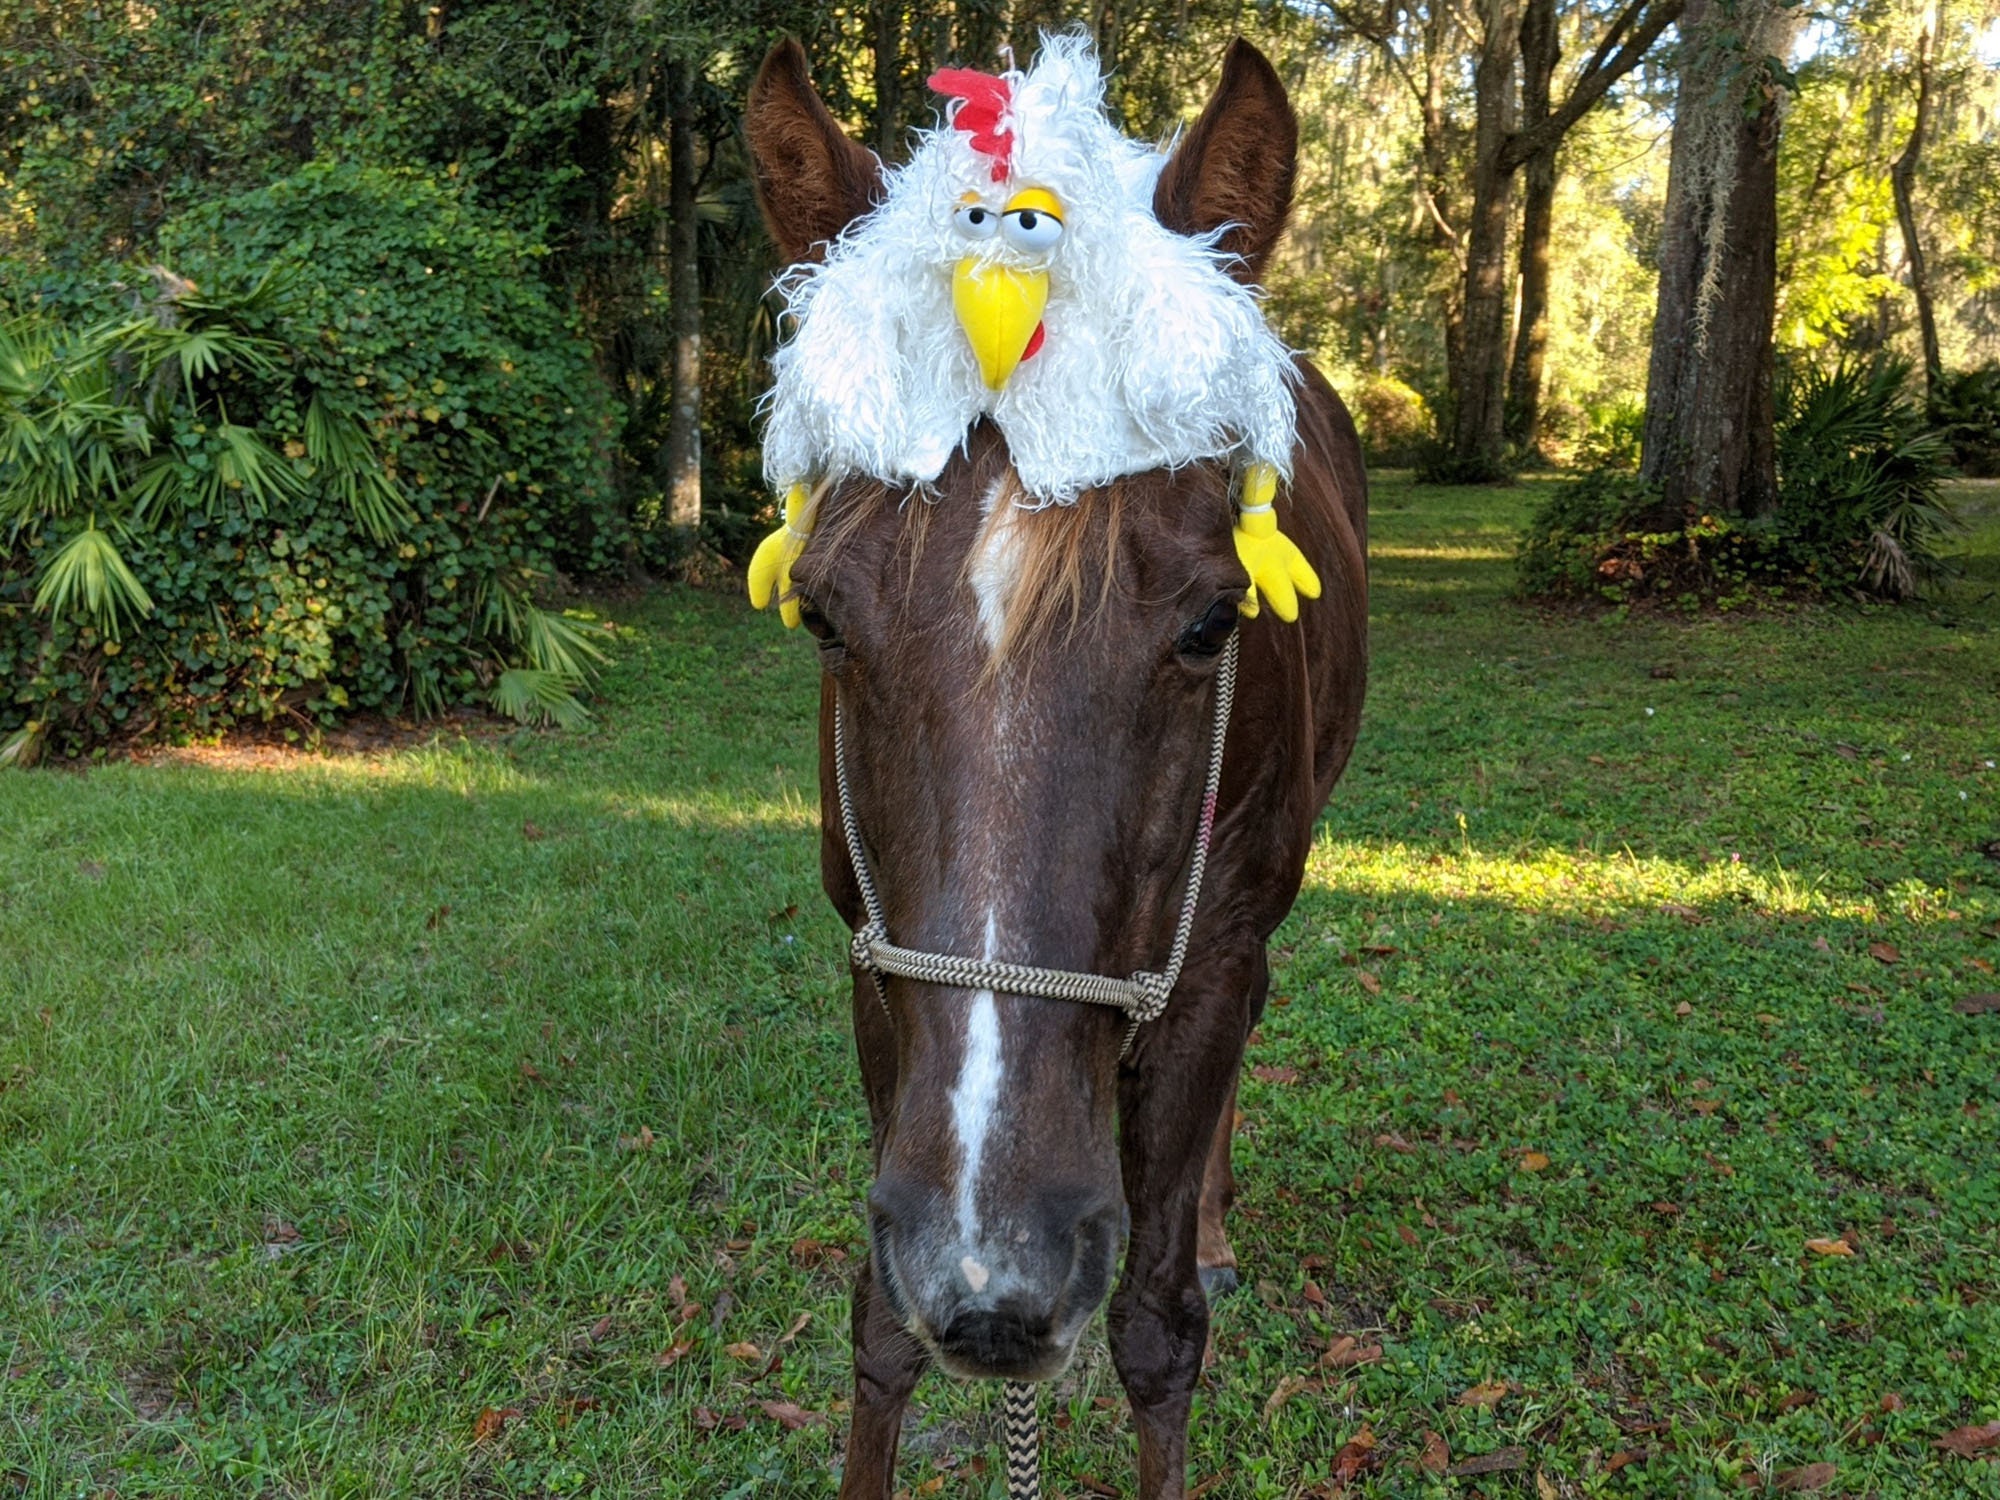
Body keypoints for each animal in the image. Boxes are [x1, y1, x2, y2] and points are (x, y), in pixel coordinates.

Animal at [744, 37, 1369, 1499]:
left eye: (1211, 625)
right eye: (822, 618)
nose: (995, 1280)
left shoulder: (1207, 960)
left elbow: (1156, 1333)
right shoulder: (876, 966)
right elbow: (879, 1323)